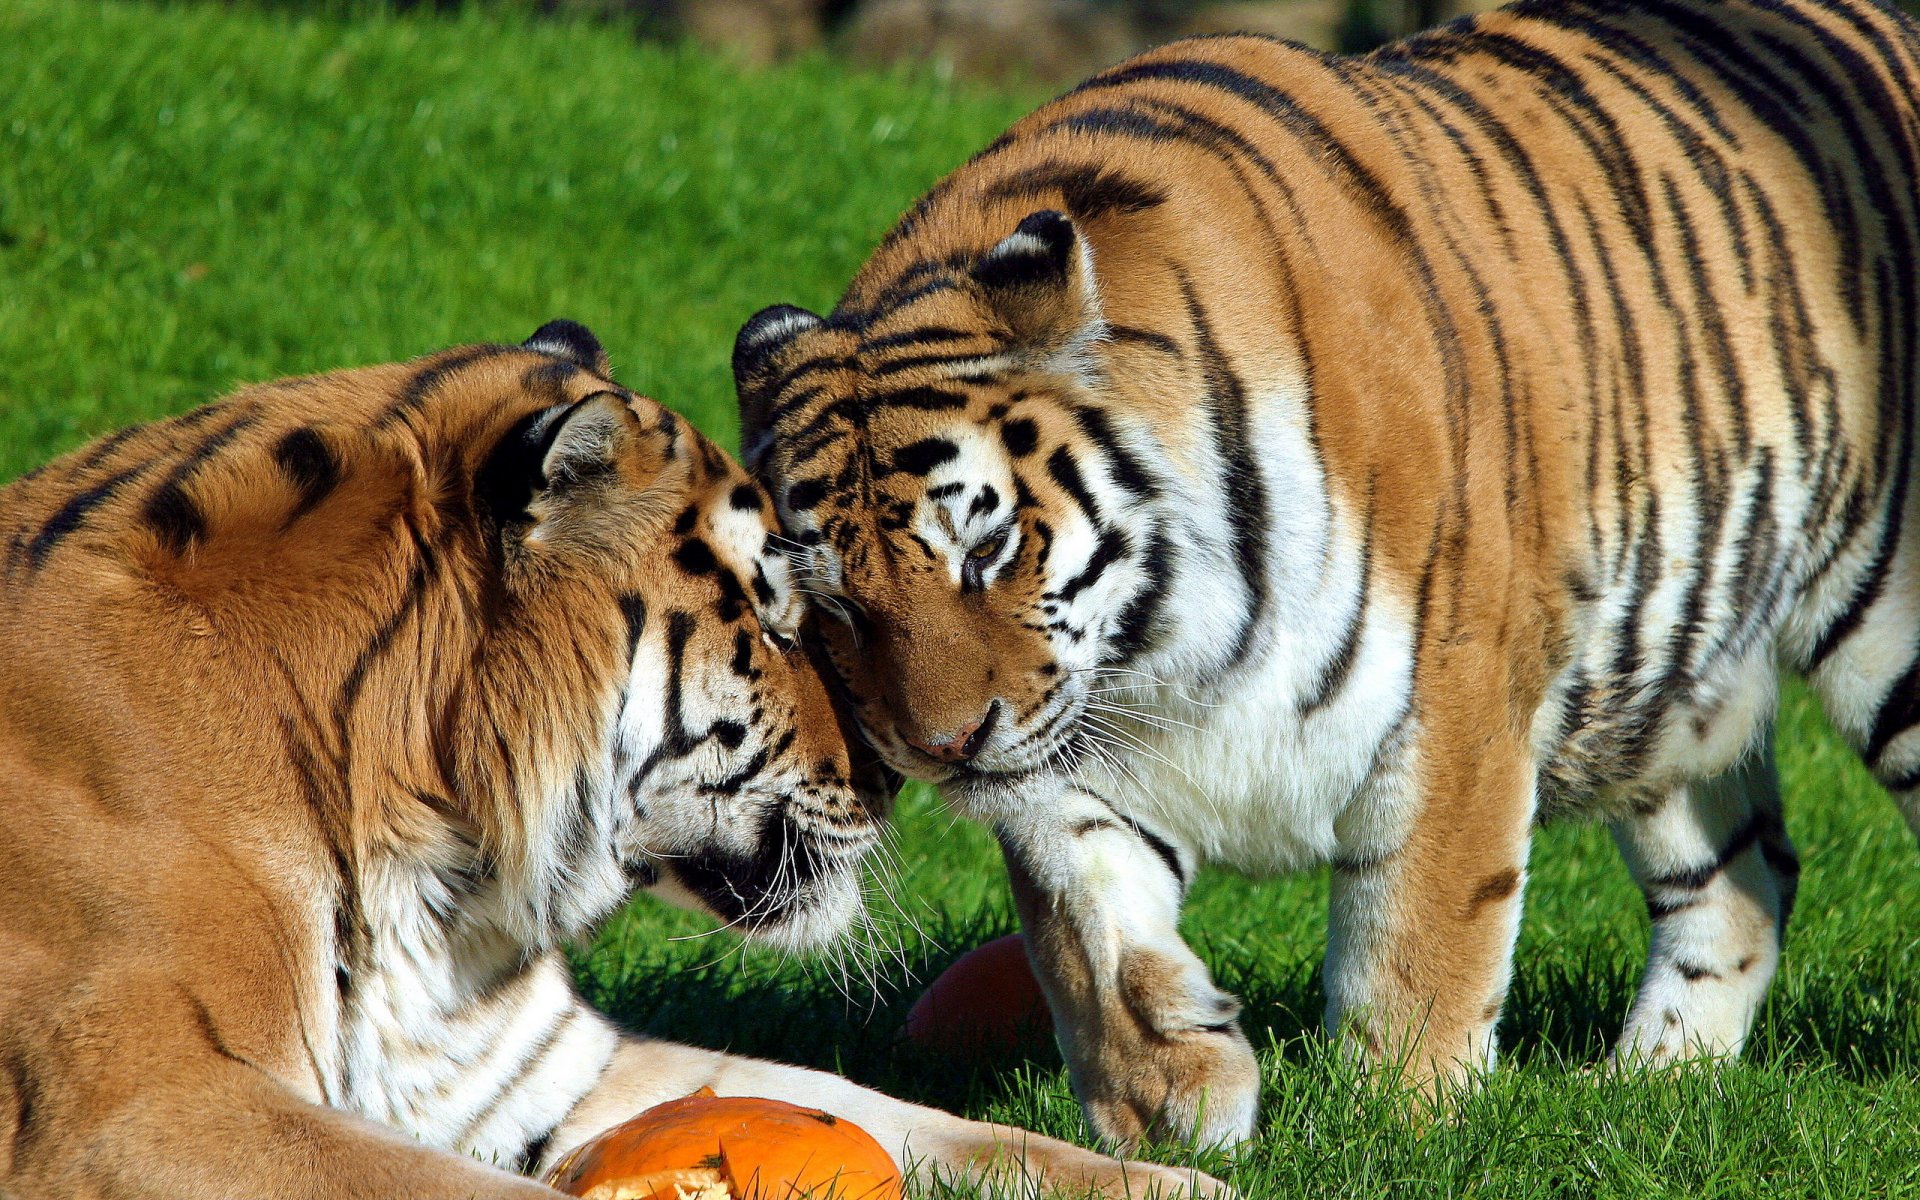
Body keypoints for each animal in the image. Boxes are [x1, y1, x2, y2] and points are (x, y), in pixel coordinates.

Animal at [0, 320, 1221, 1198]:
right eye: (770, 616)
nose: (894, 777)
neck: (429, 859)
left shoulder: (537, 1071)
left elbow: (885, 1109)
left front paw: (1182, 1181)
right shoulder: (135, 1106)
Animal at [729, 0, 1920, 1152]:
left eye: (985, 549)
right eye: (832, 603)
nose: (938, 749)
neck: (1162, 646)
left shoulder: (1454, 700)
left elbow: (1419, 939)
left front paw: (1399, 1123)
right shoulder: (1065, 755)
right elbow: (1087, 925)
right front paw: (1169, 1097)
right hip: (1670, 692)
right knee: (1743, 886)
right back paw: (1649, 1089)